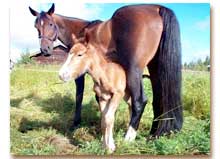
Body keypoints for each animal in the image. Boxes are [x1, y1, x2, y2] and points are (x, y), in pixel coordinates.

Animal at [30, 3, 183, 138]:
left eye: (50, 24)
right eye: (36, 26)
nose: (45, 50)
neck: (81, 31)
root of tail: (157, 8)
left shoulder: (81, 75)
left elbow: (80, 96)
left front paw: (77, 123)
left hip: (134, 71)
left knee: (140, 101)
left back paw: (129, 138)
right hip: (155, 70)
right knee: (158, 101)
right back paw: (153, 134)